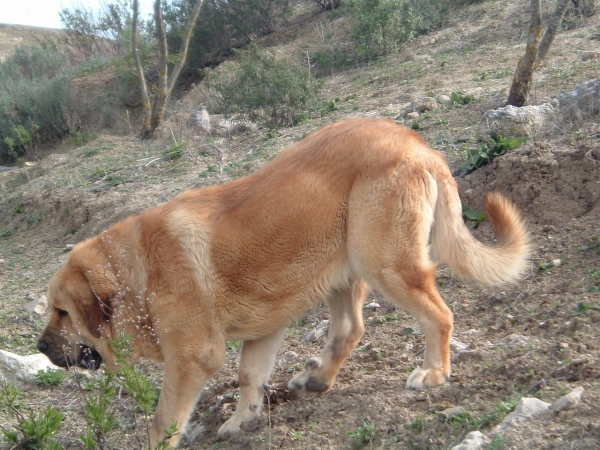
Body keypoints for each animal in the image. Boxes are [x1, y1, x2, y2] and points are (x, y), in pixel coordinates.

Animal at [36, 118, 528, 446]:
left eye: (62, 312)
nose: (40, 348)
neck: (135, 273)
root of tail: (419, 142)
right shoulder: (263, 331)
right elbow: (249, 377)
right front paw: (243, 421)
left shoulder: (192, 358)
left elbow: (163, 421)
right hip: (342, 271)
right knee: (351, 328)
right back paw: (317, 379)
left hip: (385, 263)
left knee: (439, 315)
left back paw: (434, 371)